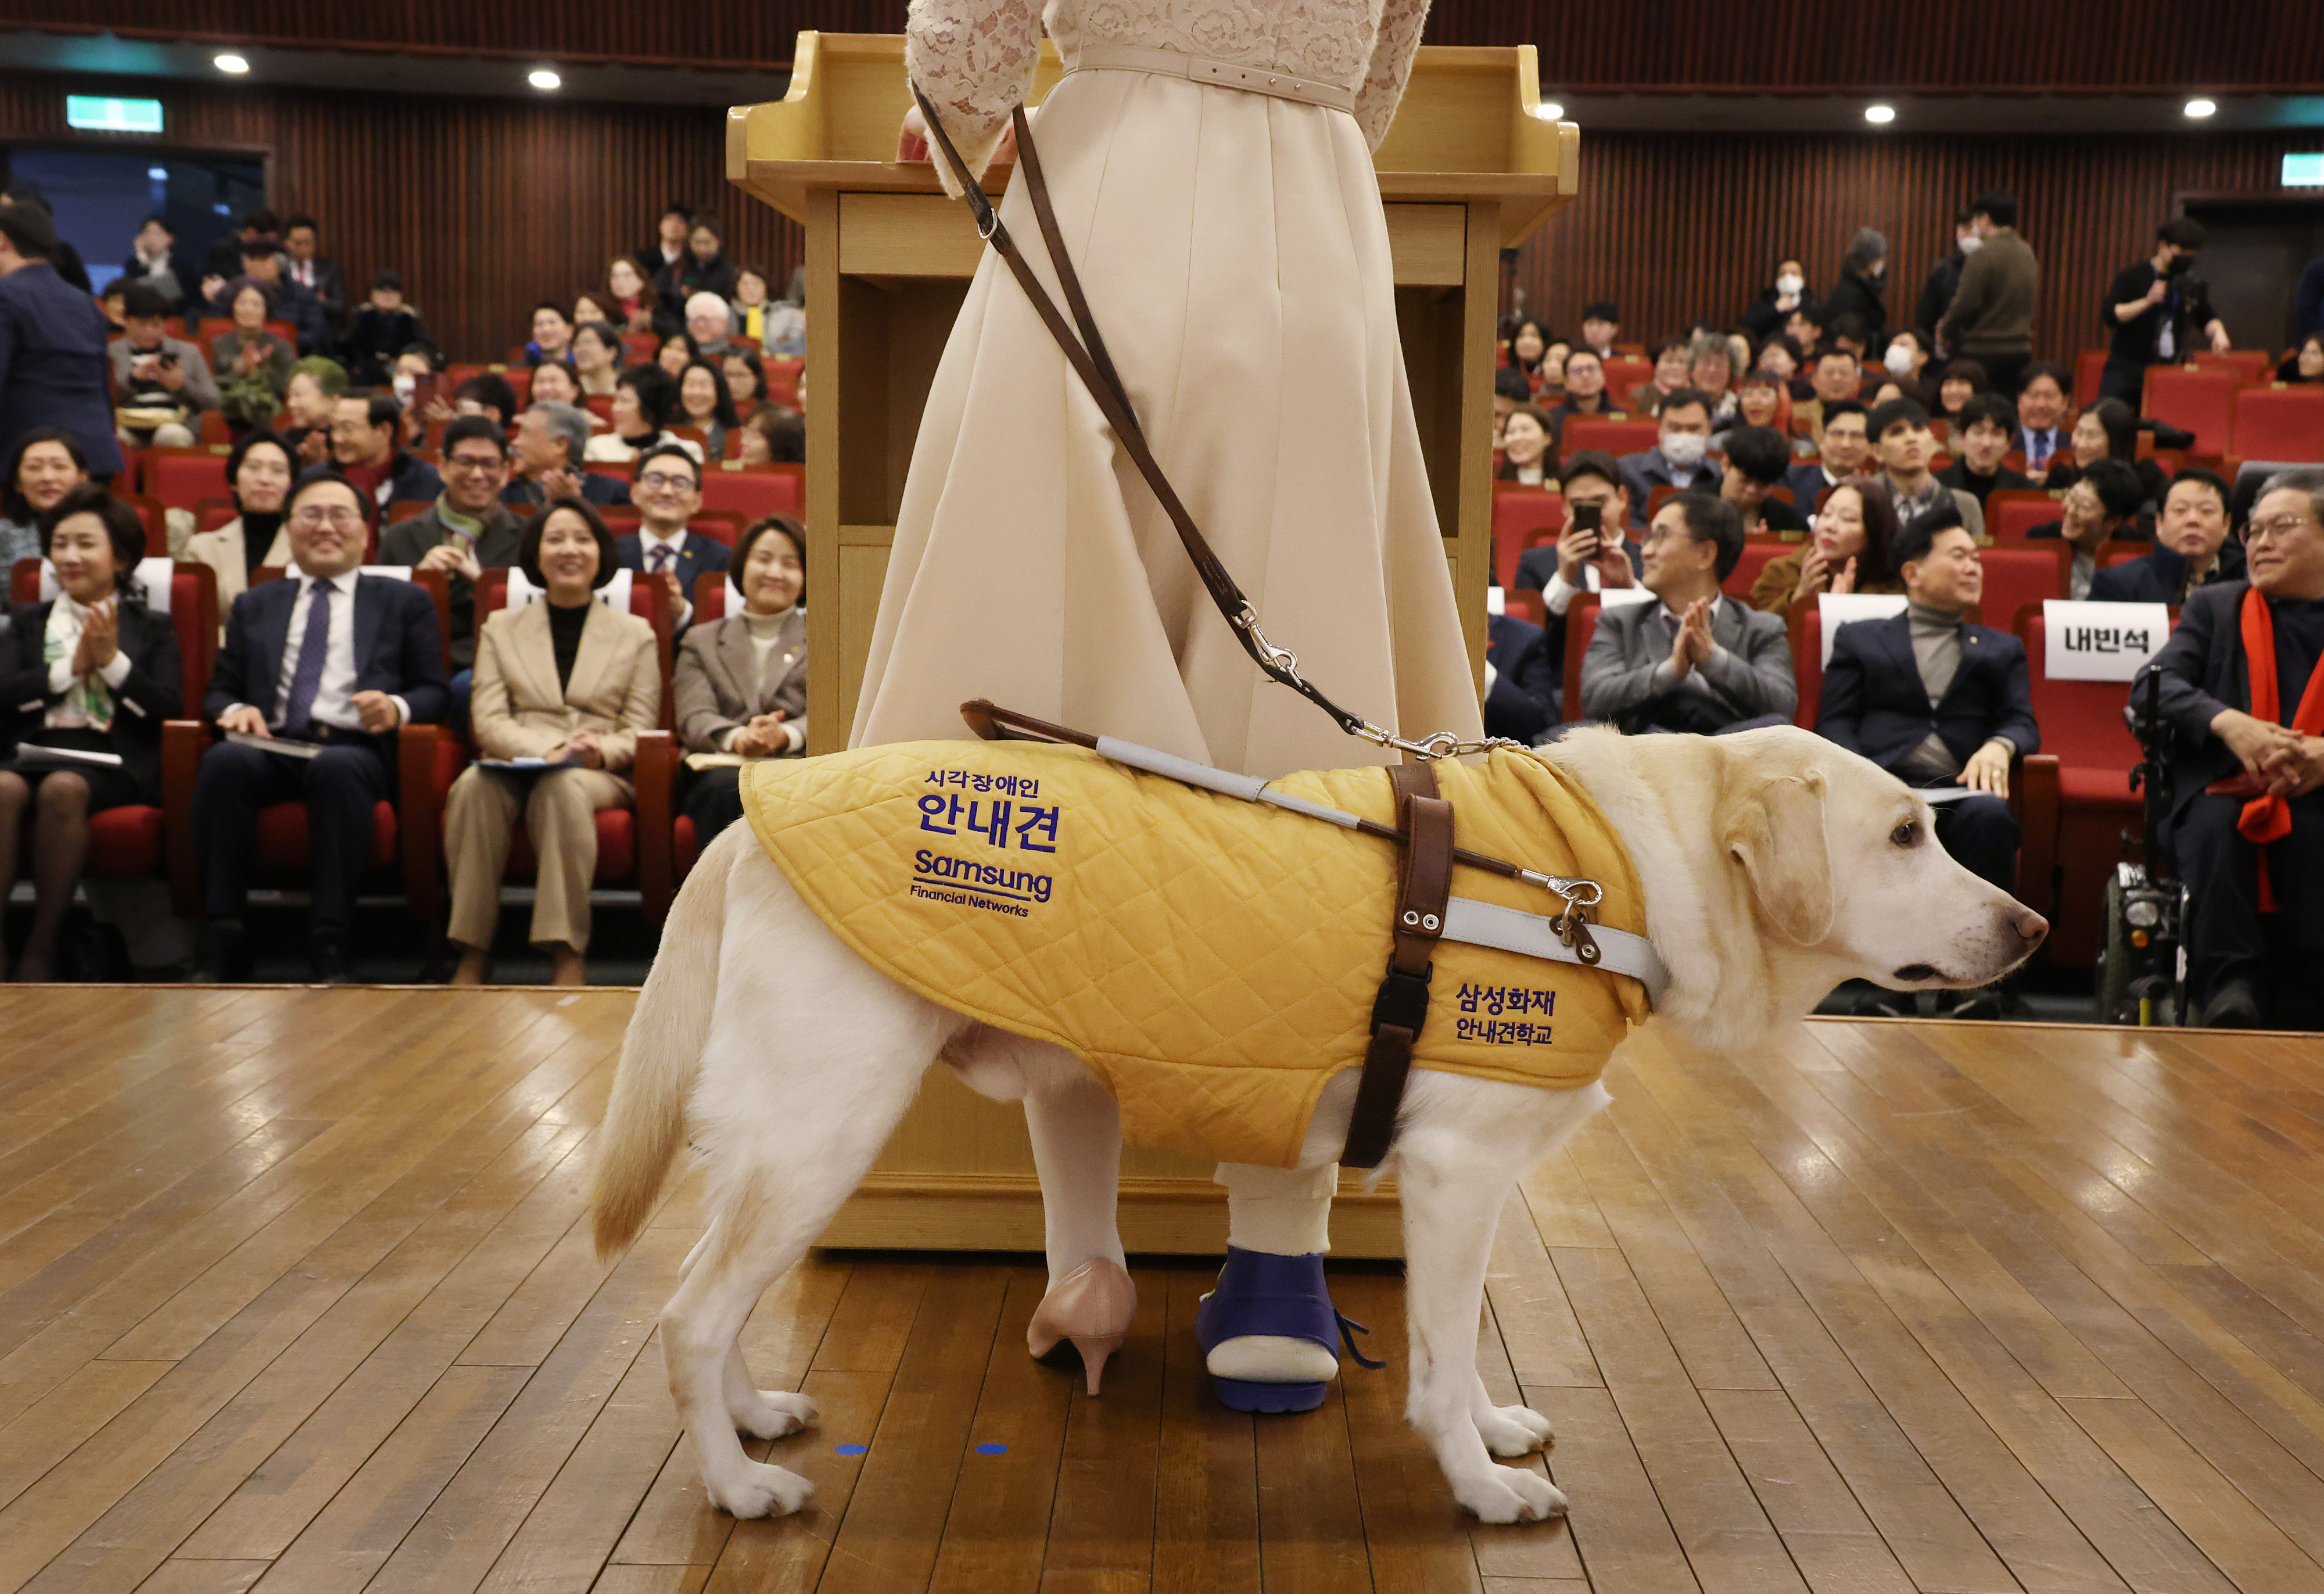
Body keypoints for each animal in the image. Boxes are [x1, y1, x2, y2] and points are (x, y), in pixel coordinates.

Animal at [600, 725, 2054, 1524]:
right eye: (1907, 833)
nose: (2033, 925)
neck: (1617, 869)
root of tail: (752, 822)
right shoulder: (1458, 1172)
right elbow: (1435, 1363)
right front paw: (1480, 1487)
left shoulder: (1473, 1185)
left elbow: (1461, 1341)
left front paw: (1493, 1428)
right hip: (827, 1125)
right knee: (685, 1312)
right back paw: (734, 1486)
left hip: (790, 1144)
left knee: (711, 1301)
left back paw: (751, 1421)